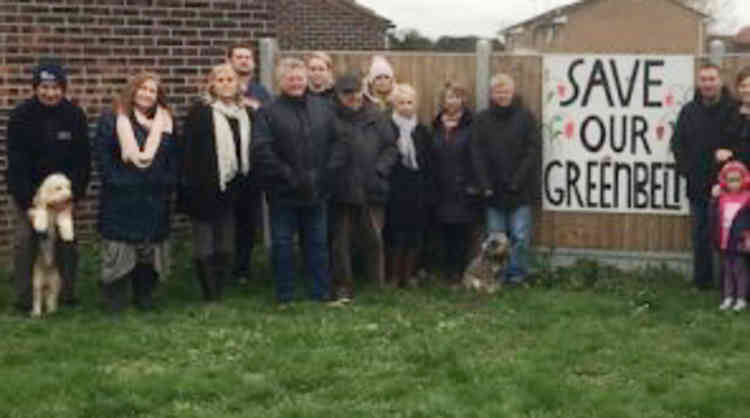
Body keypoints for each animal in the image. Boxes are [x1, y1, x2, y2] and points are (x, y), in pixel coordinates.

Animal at [27, 173, 74, 316]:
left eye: (68, 187)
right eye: (58, 188)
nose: (70, 197)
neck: (52, 209)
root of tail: (46, 282)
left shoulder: (63, 212)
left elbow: (65, 219)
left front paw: (68, 234)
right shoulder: (35, 210)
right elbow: (40, 212)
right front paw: (41, 224)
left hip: (56, 282)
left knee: (51, 299)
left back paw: (52, 311)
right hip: (36, 282)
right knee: (37, 300)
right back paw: (36, 314)